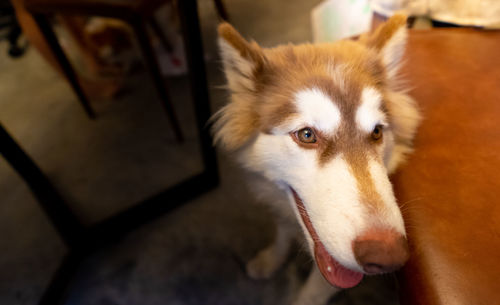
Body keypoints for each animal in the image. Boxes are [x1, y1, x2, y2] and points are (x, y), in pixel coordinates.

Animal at [212, 14, 422, 304]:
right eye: (307, 135)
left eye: (377, 132)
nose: (388, 256)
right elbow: (282, 231)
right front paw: (270, 259)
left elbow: (313, 292)